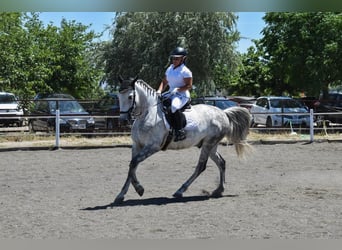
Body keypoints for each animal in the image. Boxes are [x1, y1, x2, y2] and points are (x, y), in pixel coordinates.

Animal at [115, 77, 251, 204]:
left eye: (130, 96)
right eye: (118, 96)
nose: (123, 120)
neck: (147, 114)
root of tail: (223, 113)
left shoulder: (152, 146)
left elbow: (133, 163)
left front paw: (139, 189)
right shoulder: (137, 145)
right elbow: (132, 167)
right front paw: (121, 195)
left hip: (209, 143)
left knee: (201, 166)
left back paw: (180, 191)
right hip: (211, 145)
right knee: (221, 163)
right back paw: (219, 190)